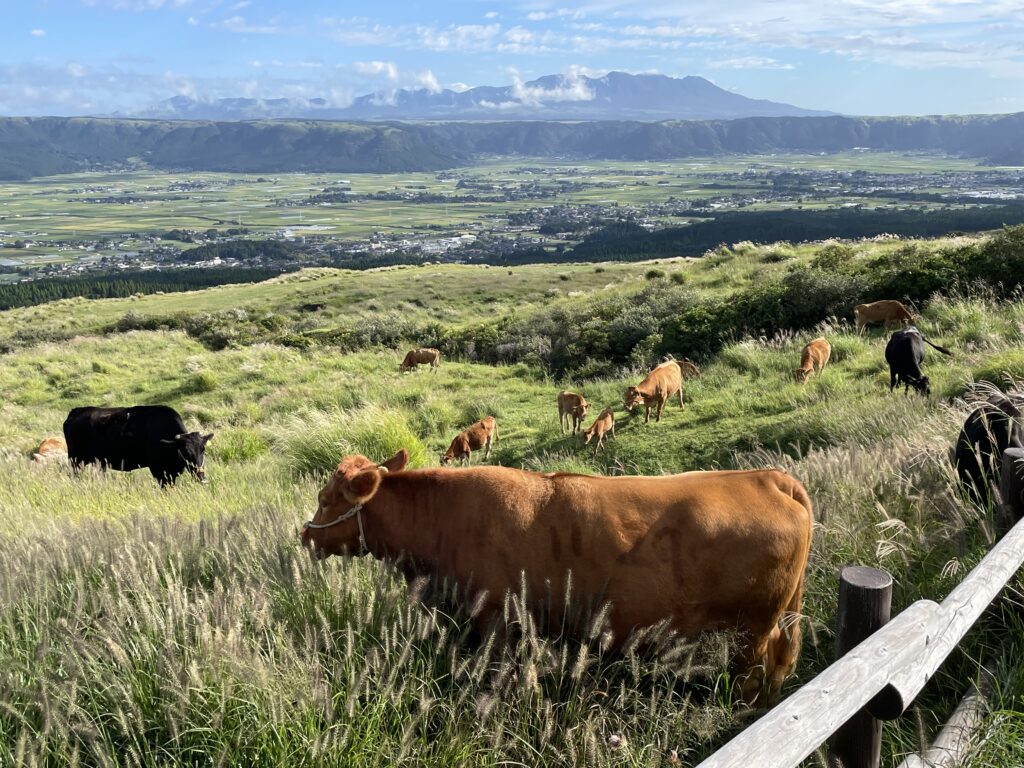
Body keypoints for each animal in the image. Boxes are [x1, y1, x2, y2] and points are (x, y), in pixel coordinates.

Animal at [62, 403, 214, 487]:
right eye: (185, 452)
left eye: (203, 450)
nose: (201, 476)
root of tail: (76, 411)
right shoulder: (158, 469)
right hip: (76, 460)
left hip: (98, 463)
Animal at [299, 450, 811, 708]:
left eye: (325, 499)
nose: (305, 534)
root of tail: (768, 477)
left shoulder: (494, 621)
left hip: (752, 631)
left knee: (751, 677)